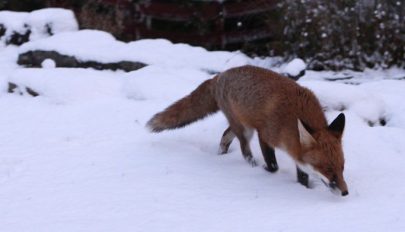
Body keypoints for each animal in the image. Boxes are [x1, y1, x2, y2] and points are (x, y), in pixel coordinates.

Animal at [147, 65, 348, 196]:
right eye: (327, 168)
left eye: (342, 167)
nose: (345, 193)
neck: (293, 116)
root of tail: (219, 76)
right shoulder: (265, 135)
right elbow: (273, 165)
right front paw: (267, 171)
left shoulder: (295, 150)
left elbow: (302, 174)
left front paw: (303, 188)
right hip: (246, 131)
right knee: (244, 151)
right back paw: (251, 165)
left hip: (243, 126)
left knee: (225, 136)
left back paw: (221, 155)